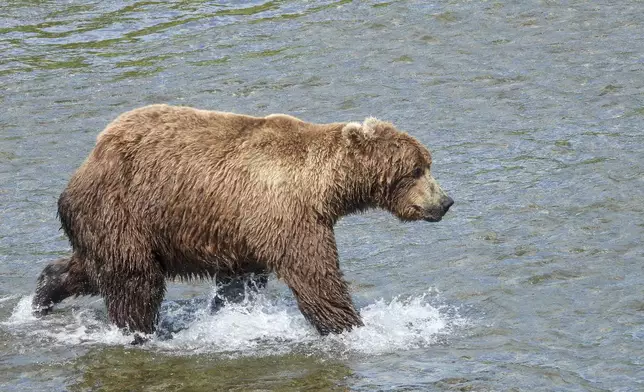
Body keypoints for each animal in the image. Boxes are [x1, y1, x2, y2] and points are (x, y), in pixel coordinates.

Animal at [31, 105, 452, 336]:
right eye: (417, 170)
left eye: (427, 164)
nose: (445, 202)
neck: (324, 189)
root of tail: (85, 165)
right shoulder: (287, 215)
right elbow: (316, 277)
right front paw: (352, 326)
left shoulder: (241, 231)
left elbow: (239, 282)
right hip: (123, 209)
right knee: (134, 279)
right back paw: (140, 331)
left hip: (112, 224)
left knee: (92, 268)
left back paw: (42, 295)